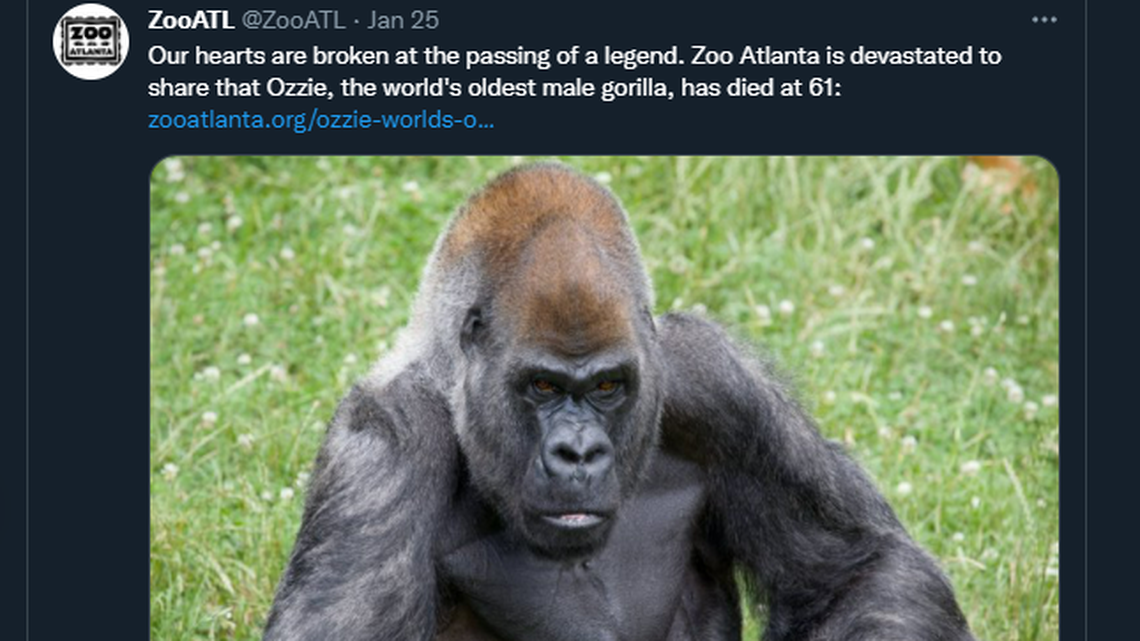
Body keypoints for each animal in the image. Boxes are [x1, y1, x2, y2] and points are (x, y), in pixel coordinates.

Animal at [263, 162, 975, 641]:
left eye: (607, 387)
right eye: (543, 386)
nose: (578, 453)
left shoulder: (716, 383)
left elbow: (862, 571)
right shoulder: (385, 445)